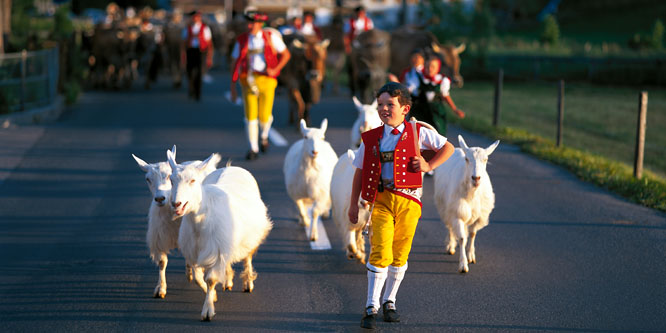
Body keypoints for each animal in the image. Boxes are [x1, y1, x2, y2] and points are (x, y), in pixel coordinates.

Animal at [130, 147, 220, 296]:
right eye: (148, 179)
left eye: (168, 176)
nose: (160, 198)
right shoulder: (160, 237)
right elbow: (162, 262)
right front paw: (160, 288)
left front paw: (203, 285)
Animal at [169, 152, 272, 320]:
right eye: (171, 180)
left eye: (193, 180)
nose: (176, 203)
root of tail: (231, 167)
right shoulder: (196, 252)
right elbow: (198, 278)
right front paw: (214, 296)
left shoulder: (215, 250)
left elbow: (210, 279)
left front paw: (207, 311)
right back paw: (228, 280)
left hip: (250, 236)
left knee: (248, 257)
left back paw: (247, 283)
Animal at [434, 135, 496, 272]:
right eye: (467, 159)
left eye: (486, 159)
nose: (476, 178)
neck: (472, 194)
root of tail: (458, 148)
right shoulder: (457, 213)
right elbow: (462, 238)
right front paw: (463, 265)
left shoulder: (479, 216)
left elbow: (472, 234)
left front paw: (471, 256)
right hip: (446, 208)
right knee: (450, 227)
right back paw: (450, 246)